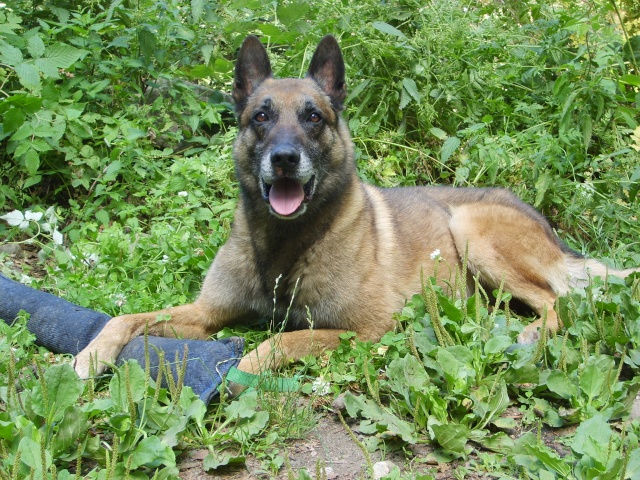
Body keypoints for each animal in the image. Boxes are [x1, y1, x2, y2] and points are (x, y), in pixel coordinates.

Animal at [74, 33, 636, 386]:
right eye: (261, 117)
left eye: (314, 117)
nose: (284, 159)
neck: (284, 246)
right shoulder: (207, 314)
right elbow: (126, 316)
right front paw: (91, 353)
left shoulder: (366, 330)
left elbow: (278, 344)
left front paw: (243, 373)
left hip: (472, 230)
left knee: (559, 301)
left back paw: (529, 333)